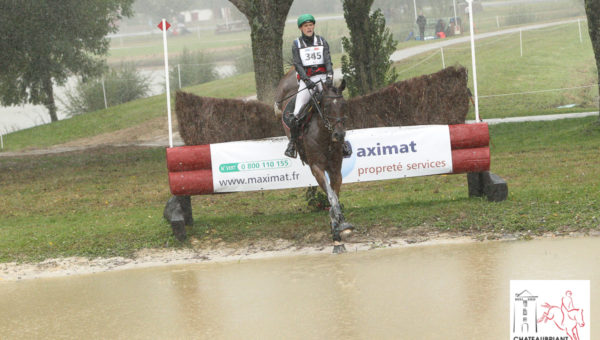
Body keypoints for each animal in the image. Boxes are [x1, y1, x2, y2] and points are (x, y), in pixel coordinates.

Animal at [276, 68, 354, 252]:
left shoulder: (335, 170)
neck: (324, 136)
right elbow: (332, 197)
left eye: (344, 105)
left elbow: (335, 196)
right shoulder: (317, 168)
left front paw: (338, 232)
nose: (339, 135)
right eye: (326, 107)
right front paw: (340, 226)